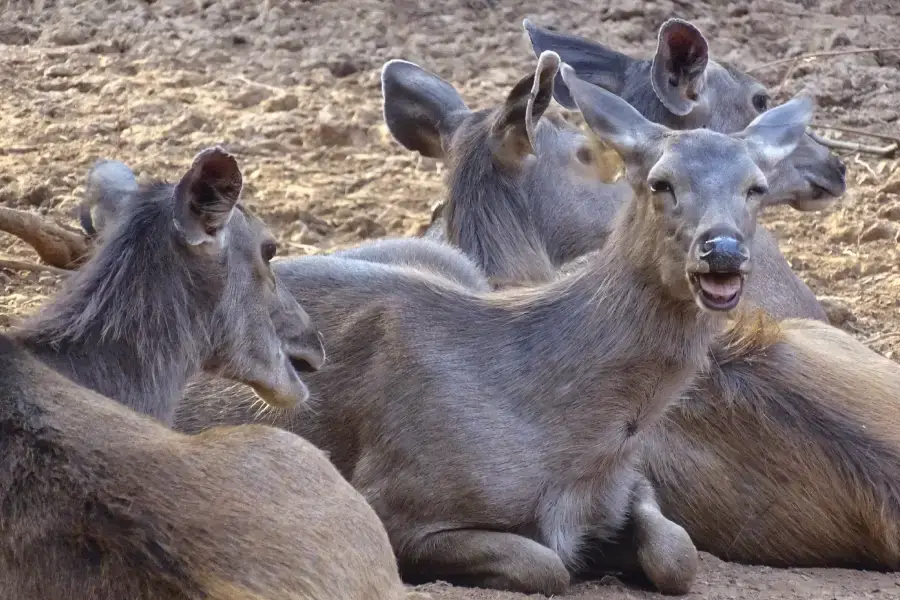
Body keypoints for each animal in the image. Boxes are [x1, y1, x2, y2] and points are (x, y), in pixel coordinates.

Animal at [172, 61, 812, 596]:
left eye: (755, 186)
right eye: (659, 182)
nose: (722, 250)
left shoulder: (631, 484)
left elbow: (677, 554)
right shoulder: (396, 499)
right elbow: (545, 564)